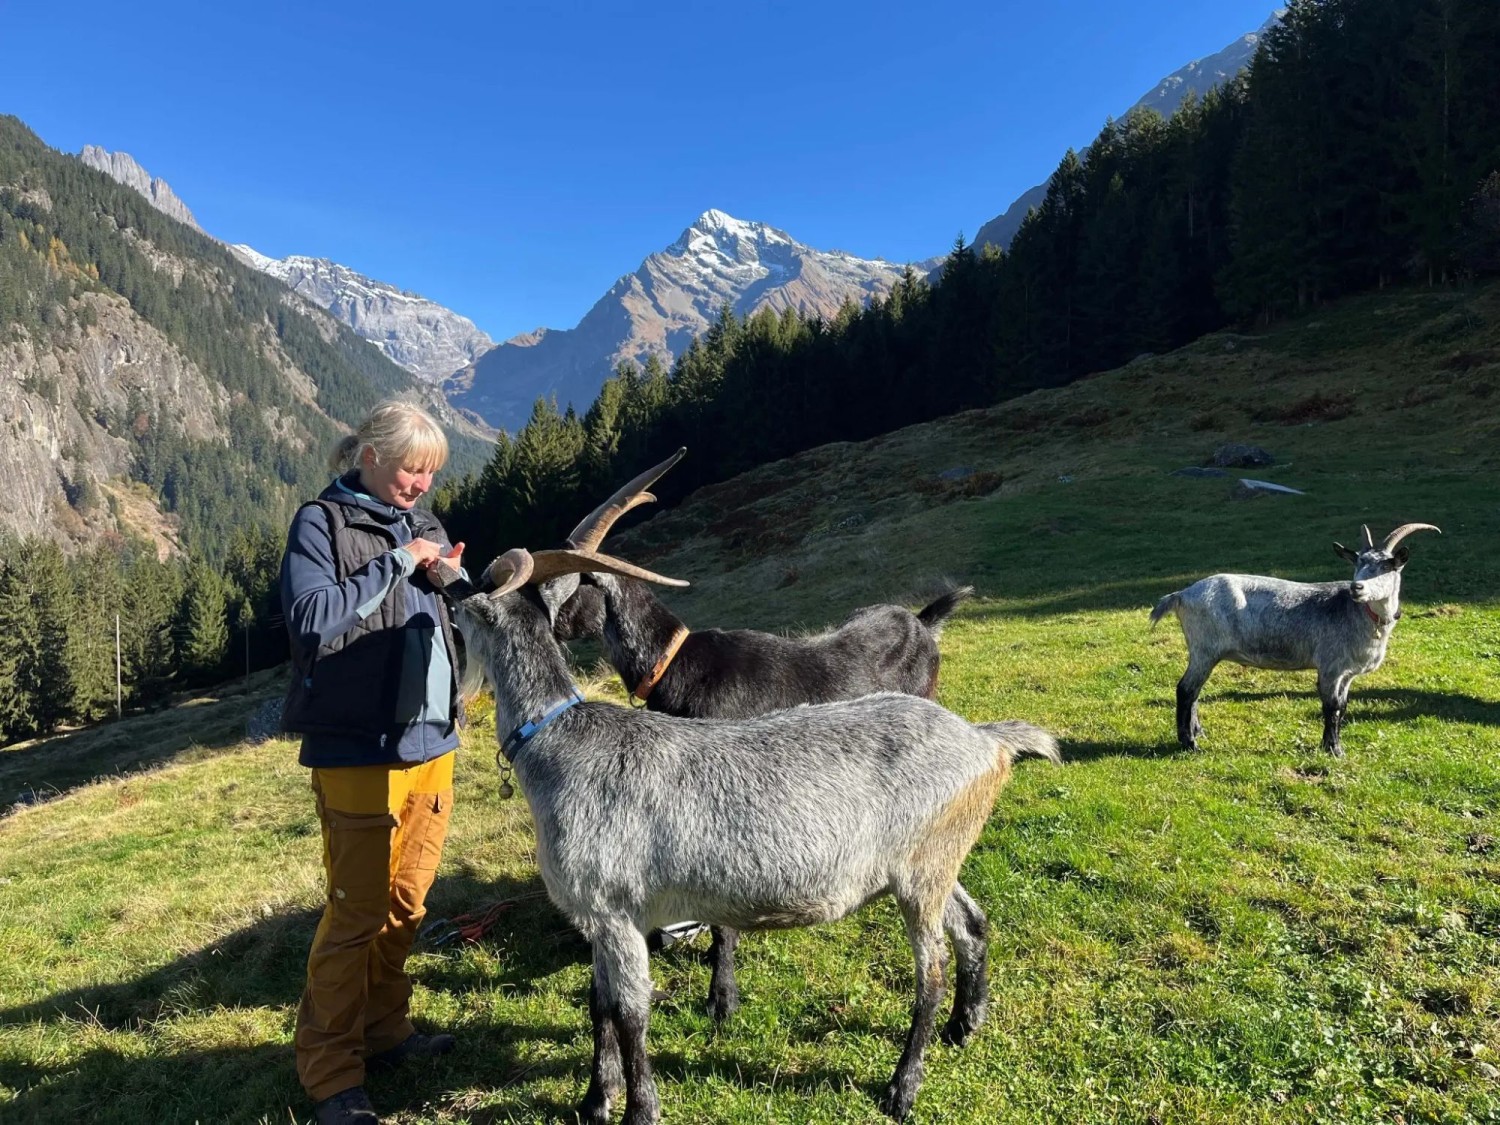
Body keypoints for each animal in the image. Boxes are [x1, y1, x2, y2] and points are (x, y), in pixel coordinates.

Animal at [454, 544, 1058, 1122]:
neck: (558, 743)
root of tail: (986, 742)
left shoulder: (615, 912)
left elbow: (629, 1015)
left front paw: (639, 1109)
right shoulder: (600, 922)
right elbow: (598, 1007)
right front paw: (594, 1102)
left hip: (921, 875)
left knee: (930, 972)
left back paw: (901, 1089)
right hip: (932, 861)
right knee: (972, 926)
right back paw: (964, 1026)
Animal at [556, 450, 983, 1022]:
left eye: (571, 584)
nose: (554, 626)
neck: (679, 665)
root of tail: (921, 621)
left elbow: (723, 922)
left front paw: (722, 995)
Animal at [1150, 523, 1440, 756]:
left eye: (1387, 566)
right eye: (1358, 563)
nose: (1356, 588)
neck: (1356, 613)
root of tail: (1183, 594)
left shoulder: (1347, 673)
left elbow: (1343, 707)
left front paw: (1330, 746)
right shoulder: (1330, 667)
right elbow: (1331, 706)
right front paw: (1334, 750)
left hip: (1206, 653)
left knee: (1195, 692)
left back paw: (1198, 733)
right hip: (1205, 649)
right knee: (1186, 689)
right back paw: (1189, 744)